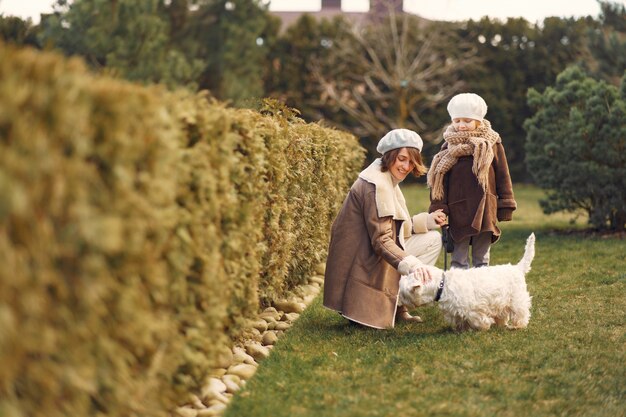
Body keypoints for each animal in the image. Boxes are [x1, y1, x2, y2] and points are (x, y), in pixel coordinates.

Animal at [398, 232, 532, 330]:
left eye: (403, 294)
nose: (398, 301)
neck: (442, 285)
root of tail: (517, 268)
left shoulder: (473, 309)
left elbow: (478, 319)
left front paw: (484, 326)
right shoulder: (454, 310)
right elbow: (461, 320)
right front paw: (462, 329)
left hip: (516, 299)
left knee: (521, 313)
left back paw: (517, 326)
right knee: (503, 314)